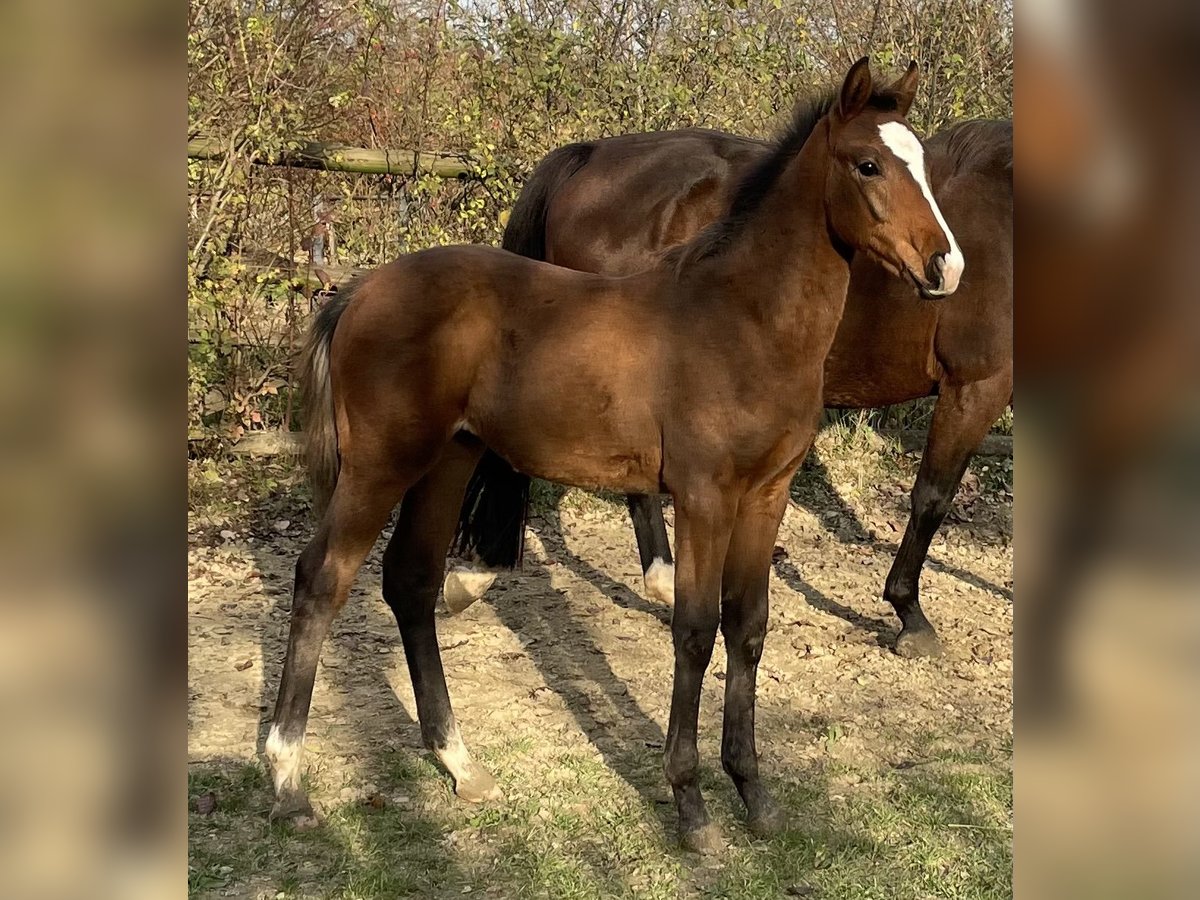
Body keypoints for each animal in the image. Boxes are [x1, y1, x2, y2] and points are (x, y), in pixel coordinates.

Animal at [267, 61, 960, 854]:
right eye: (868, 163)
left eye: (923, 164)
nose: (946, 266)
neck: (742, 323)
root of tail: (356, 291)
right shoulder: (703, 496)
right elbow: (695, 631)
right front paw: (691, 806)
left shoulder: (768, 494)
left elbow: (748, 625)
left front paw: (754, 794)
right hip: (380, 464)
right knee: (322, 579)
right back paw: (287, 780)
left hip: (449, 459)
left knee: (410, 582)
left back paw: (460, 763)